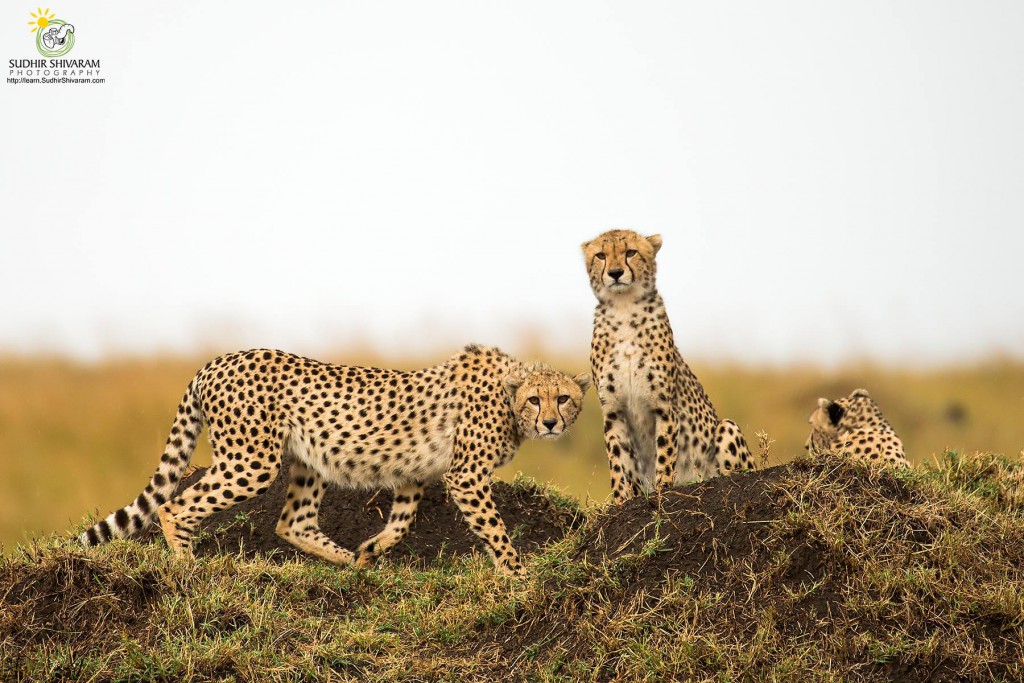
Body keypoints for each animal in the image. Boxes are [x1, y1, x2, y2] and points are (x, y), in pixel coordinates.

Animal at [77, 344, 593, 573]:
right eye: (535, 400)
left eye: (564, 398)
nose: (551, 423)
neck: (509, 395)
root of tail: (216, 360)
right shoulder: (466, 475)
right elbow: (496, 529)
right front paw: (517, 575)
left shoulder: (414, 473)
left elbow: (402, 520)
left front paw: (372, 549)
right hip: (252, 460)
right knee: (173, 505)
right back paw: (188, 567)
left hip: (307, 461)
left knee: (292, 522)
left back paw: (345, 558)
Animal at [581, 229, 757, 501]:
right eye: (601, 255)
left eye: (630, 252)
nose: (615, 273)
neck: (623, 308)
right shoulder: (613, 410)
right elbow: (617, 460)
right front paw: (620, 501)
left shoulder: (663, 406)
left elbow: (665, 452)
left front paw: (662, 491)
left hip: (726, 429)